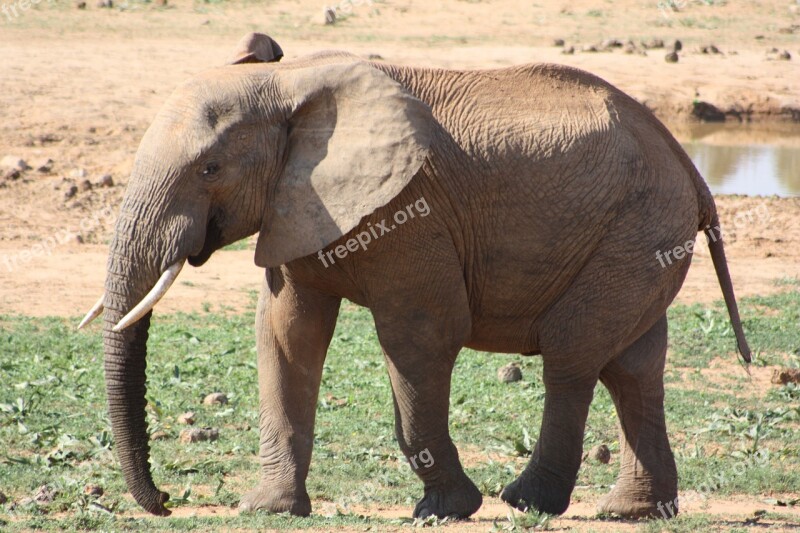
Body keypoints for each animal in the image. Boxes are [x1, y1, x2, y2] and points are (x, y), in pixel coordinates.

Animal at [79, 33, 752, 520]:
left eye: (210, 169)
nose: (167, 504)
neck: (289, 84)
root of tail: (691, 170)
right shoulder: (293, 207)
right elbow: (286, 336)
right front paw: (266, 510)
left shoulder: (410, 213)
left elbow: (420, 336)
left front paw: (443, 511)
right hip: (641, 241)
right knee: (633, 365)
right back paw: (634, 513)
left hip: (637, 229)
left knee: (573, 355)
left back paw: (525, 502)